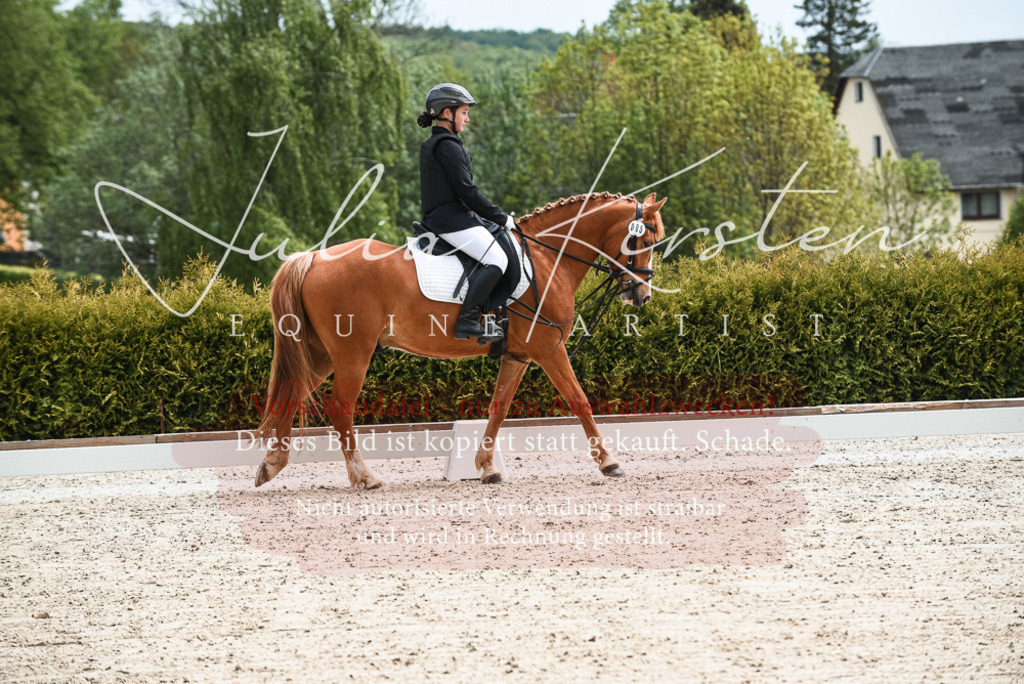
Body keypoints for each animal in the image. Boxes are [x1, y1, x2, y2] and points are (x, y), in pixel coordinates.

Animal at [254, 191, 667, 488]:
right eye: (644, 240)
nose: (642, 296)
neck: (548, 260)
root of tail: (313, 258)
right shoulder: (548, 350)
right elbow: (579, 400)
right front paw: (610, 462)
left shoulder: (517, 355)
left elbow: (499, 408)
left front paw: (486, 468)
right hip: (352, 353)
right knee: (340, 408)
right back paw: (364, 477)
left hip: (320, 353)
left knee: (291, 393)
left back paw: (271, 465)